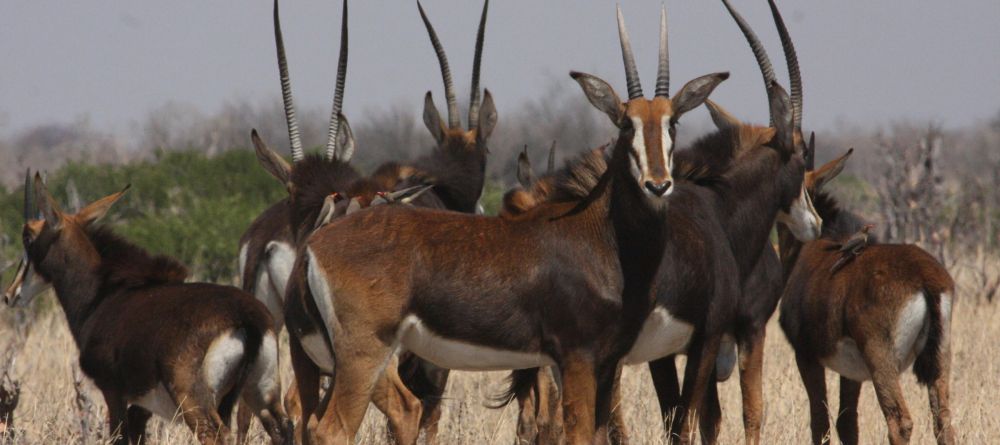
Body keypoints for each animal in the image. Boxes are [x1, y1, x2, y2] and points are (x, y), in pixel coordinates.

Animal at [2, 172, 292, 442]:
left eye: (28, 238)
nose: (10, 294)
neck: (103, 295)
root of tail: (247, 319)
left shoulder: (113, 391)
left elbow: (118, 436)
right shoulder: (142, 405)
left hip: (194, 401)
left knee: (215, 434)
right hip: (263, 392)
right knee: (283, 427)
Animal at [776, 147, 956, 442]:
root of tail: (925, 278)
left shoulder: (806, 354)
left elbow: (820, 422)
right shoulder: (852, 372)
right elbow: (847, 422)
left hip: (880, 357)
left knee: (899, 421)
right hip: (940, 357)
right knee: (943, 421)